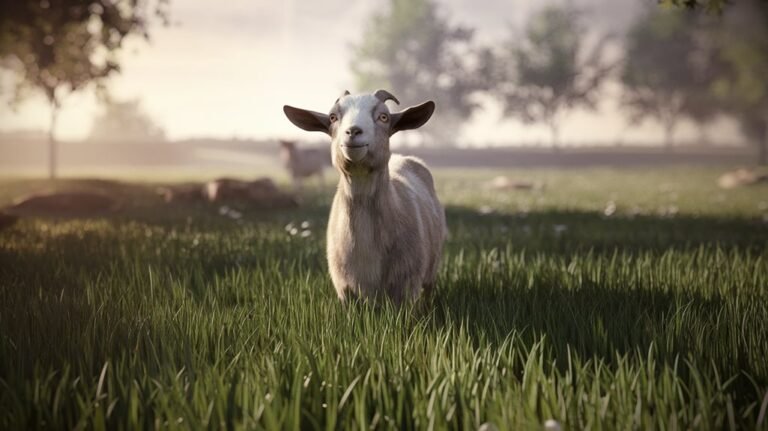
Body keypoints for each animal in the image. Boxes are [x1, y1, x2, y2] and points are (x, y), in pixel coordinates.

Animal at [283, 89, 446, 304]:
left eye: (384, 117)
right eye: (333, 117)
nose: (353, 132)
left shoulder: (406, 286)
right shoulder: (344, 289)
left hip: (431, 270)